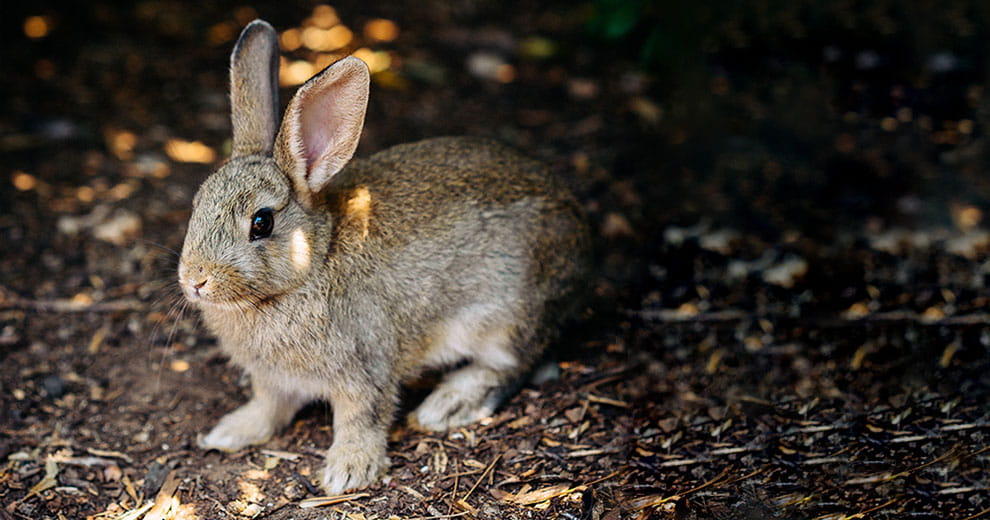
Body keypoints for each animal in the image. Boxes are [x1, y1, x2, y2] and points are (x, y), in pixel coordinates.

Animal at [177, 19, 590, 495]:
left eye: (261, 223)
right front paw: (230, 433)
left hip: (505, 317)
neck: (313, 263)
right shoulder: (272, 381)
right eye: (197, 203)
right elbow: (268, 407)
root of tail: (582, 235)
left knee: (512, 365)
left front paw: (348, 471)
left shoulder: (364, 368)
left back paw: (447, 404)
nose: (195, 280)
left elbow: (362, 417)